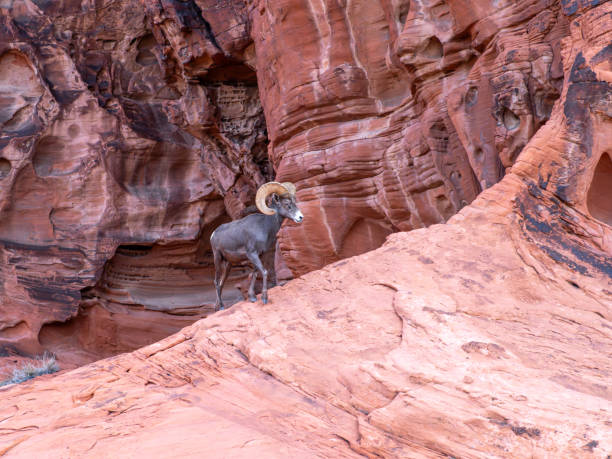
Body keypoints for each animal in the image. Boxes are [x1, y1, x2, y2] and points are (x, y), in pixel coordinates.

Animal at [210, 181, 304, 310]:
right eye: (287, 204)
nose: (300, 217)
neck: (264, 227)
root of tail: (213, 234)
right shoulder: (252, 254)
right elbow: (264, 272)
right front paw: (264, 298)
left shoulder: (260, 255)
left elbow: (255, 274)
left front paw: (252, 297)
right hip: (218, 258)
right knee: (216, 281)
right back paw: (221, 307)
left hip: (229, 264)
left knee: (221, 282)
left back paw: (218, 307)